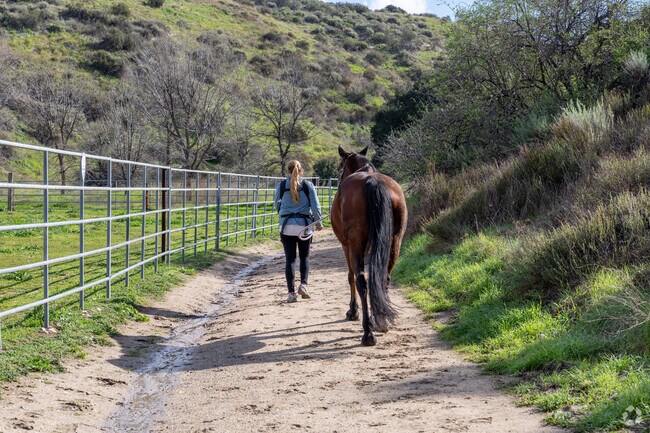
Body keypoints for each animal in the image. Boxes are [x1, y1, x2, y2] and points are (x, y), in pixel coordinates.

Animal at [330, 145, 408, 346]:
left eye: (340, 167)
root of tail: (372, 181)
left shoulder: (346, 247)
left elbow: (350, 276)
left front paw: (353, 311)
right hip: (395, 241)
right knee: (383, 278)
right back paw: (381, 321)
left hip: (356, 245)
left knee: (361, 281)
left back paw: (368, 332)